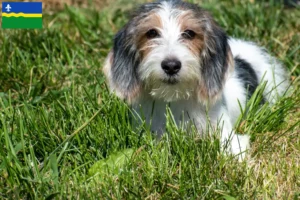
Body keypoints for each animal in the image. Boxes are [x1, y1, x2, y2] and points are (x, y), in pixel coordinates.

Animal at [102, 0, 288, 159]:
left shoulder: (225, 133)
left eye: (189, 33)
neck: (175, 99)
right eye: (152, 33)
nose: (171, 66)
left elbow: (232, 149)